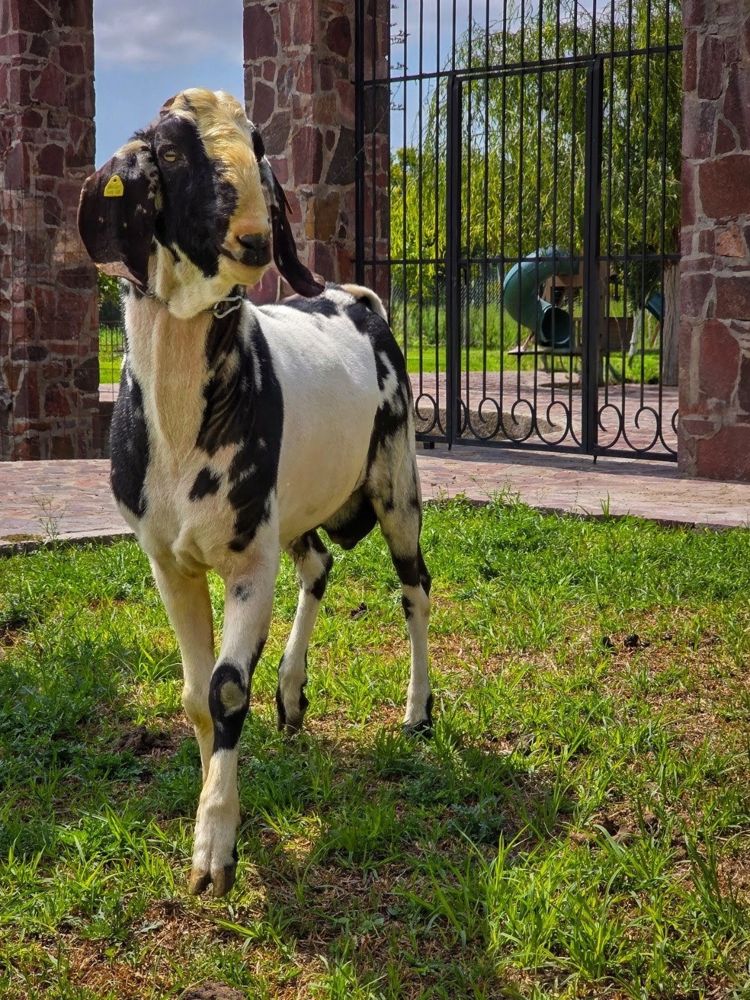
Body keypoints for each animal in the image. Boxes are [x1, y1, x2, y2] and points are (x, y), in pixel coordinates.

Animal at [78, 89, 432, 897]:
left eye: (259, 147)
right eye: (168, 150)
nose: (255, 237)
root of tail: (355, 297)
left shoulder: (247, 563)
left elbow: (227, 687)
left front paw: (215, 848)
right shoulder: (167, 560)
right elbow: (194, 695)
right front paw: (217, 796)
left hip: (396, 481)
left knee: (414, 588)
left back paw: (417, 711)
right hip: (293, 508)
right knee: (319, 566)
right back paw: (293, 695)